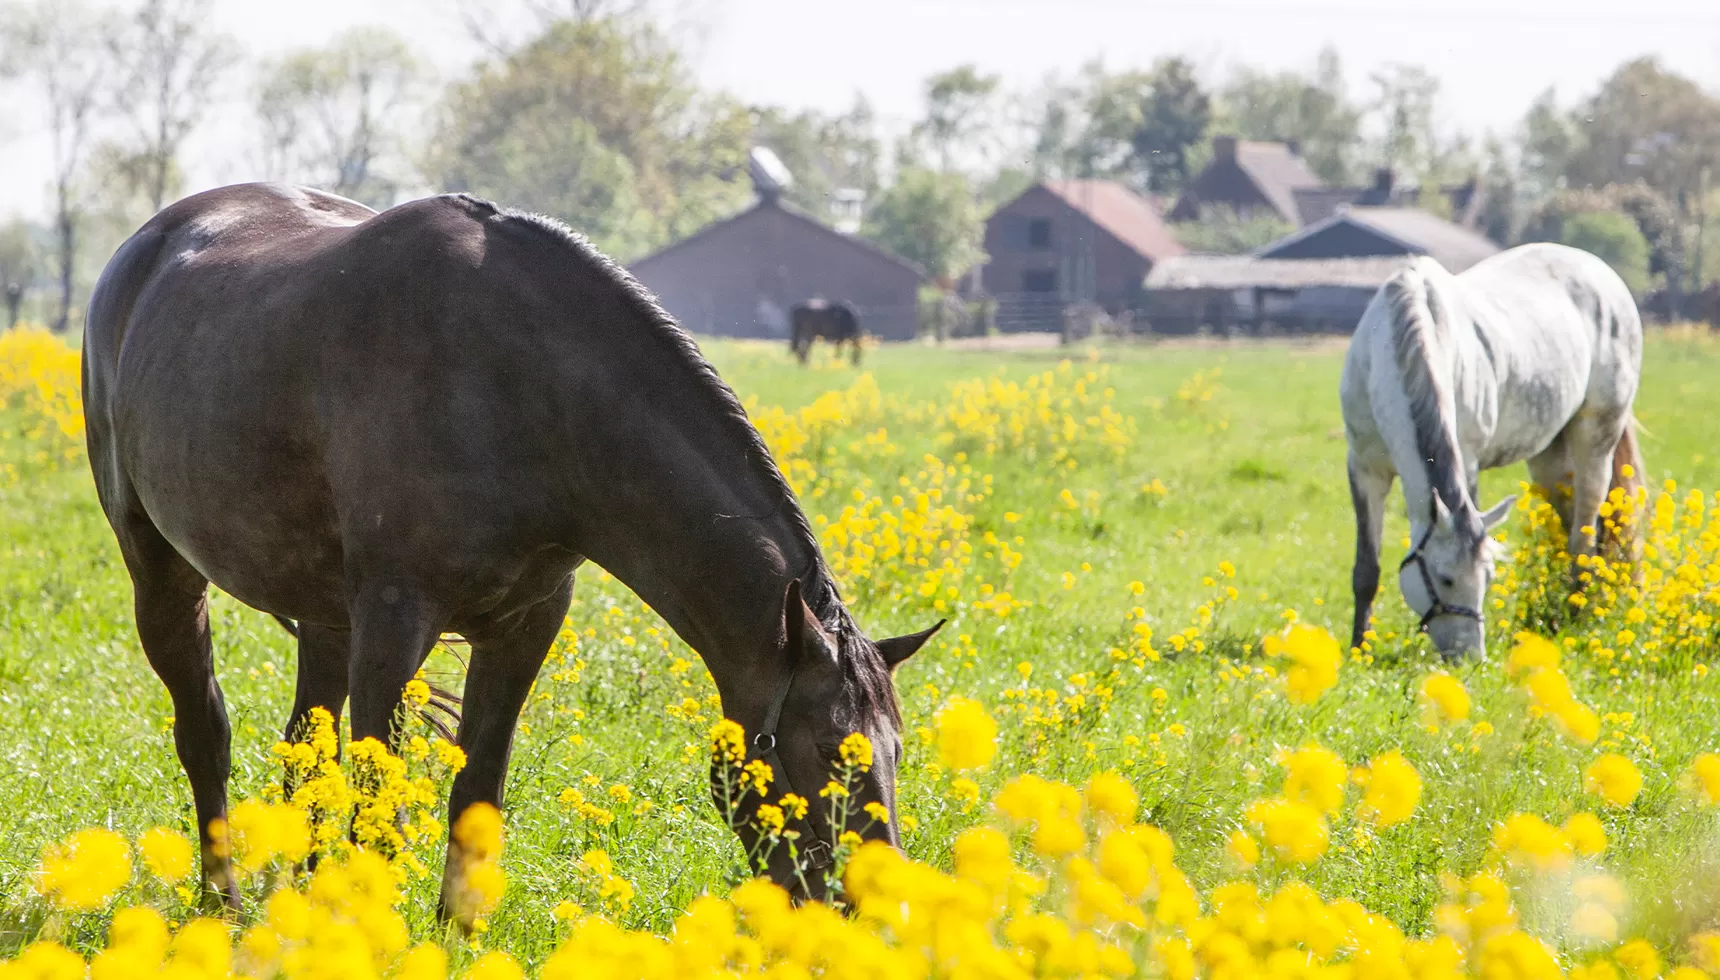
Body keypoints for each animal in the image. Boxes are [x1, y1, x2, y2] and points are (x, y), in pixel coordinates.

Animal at [80, 181, 942, 907]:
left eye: (897, 749)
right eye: (829, 749)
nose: (871, 904)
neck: (521, 386)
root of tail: (147, 247)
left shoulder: (525, 624)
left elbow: (476, 800)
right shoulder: (393, 624)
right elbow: (376, 809)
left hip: (324, 617)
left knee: (306, 751)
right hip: (162, 574)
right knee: (206, 734)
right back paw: (221, 899)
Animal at [1334, 242, 1644, 656]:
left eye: (1487, 577)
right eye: (1445, 578)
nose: (1469, 658)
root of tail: (1605, 275)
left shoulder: (1467, 462)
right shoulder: (1365, 469)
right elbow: (1366, 569)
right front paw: (1359, 648)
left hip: (1596, 437)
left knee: (1585, 531)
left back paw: (1575, 614)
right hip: (1549, 456)